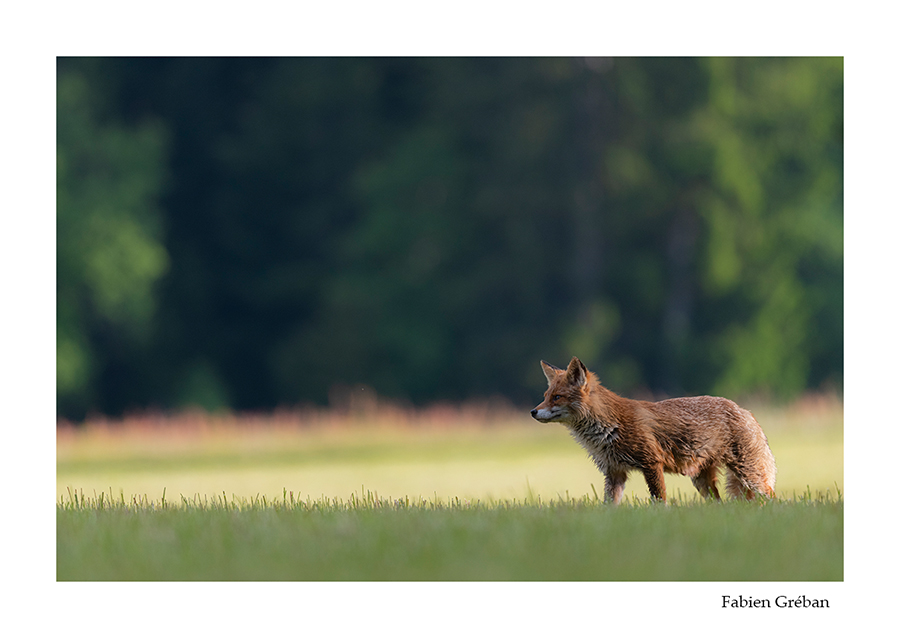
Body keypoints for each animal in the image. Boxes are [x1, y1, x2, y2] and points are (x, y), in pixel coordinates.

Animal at [531, 356, 776, 504]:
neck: (607, 428)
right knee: (719, 503)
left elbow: (659, 501)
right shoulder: (614, 472)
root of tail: (744, 409)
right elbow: (608, 506)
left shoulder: (651, 463)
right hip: (701, 480)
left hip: (750, 475)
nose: (533, 412)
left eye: (557, 397)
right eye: (545, 396)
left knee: (774, 499)